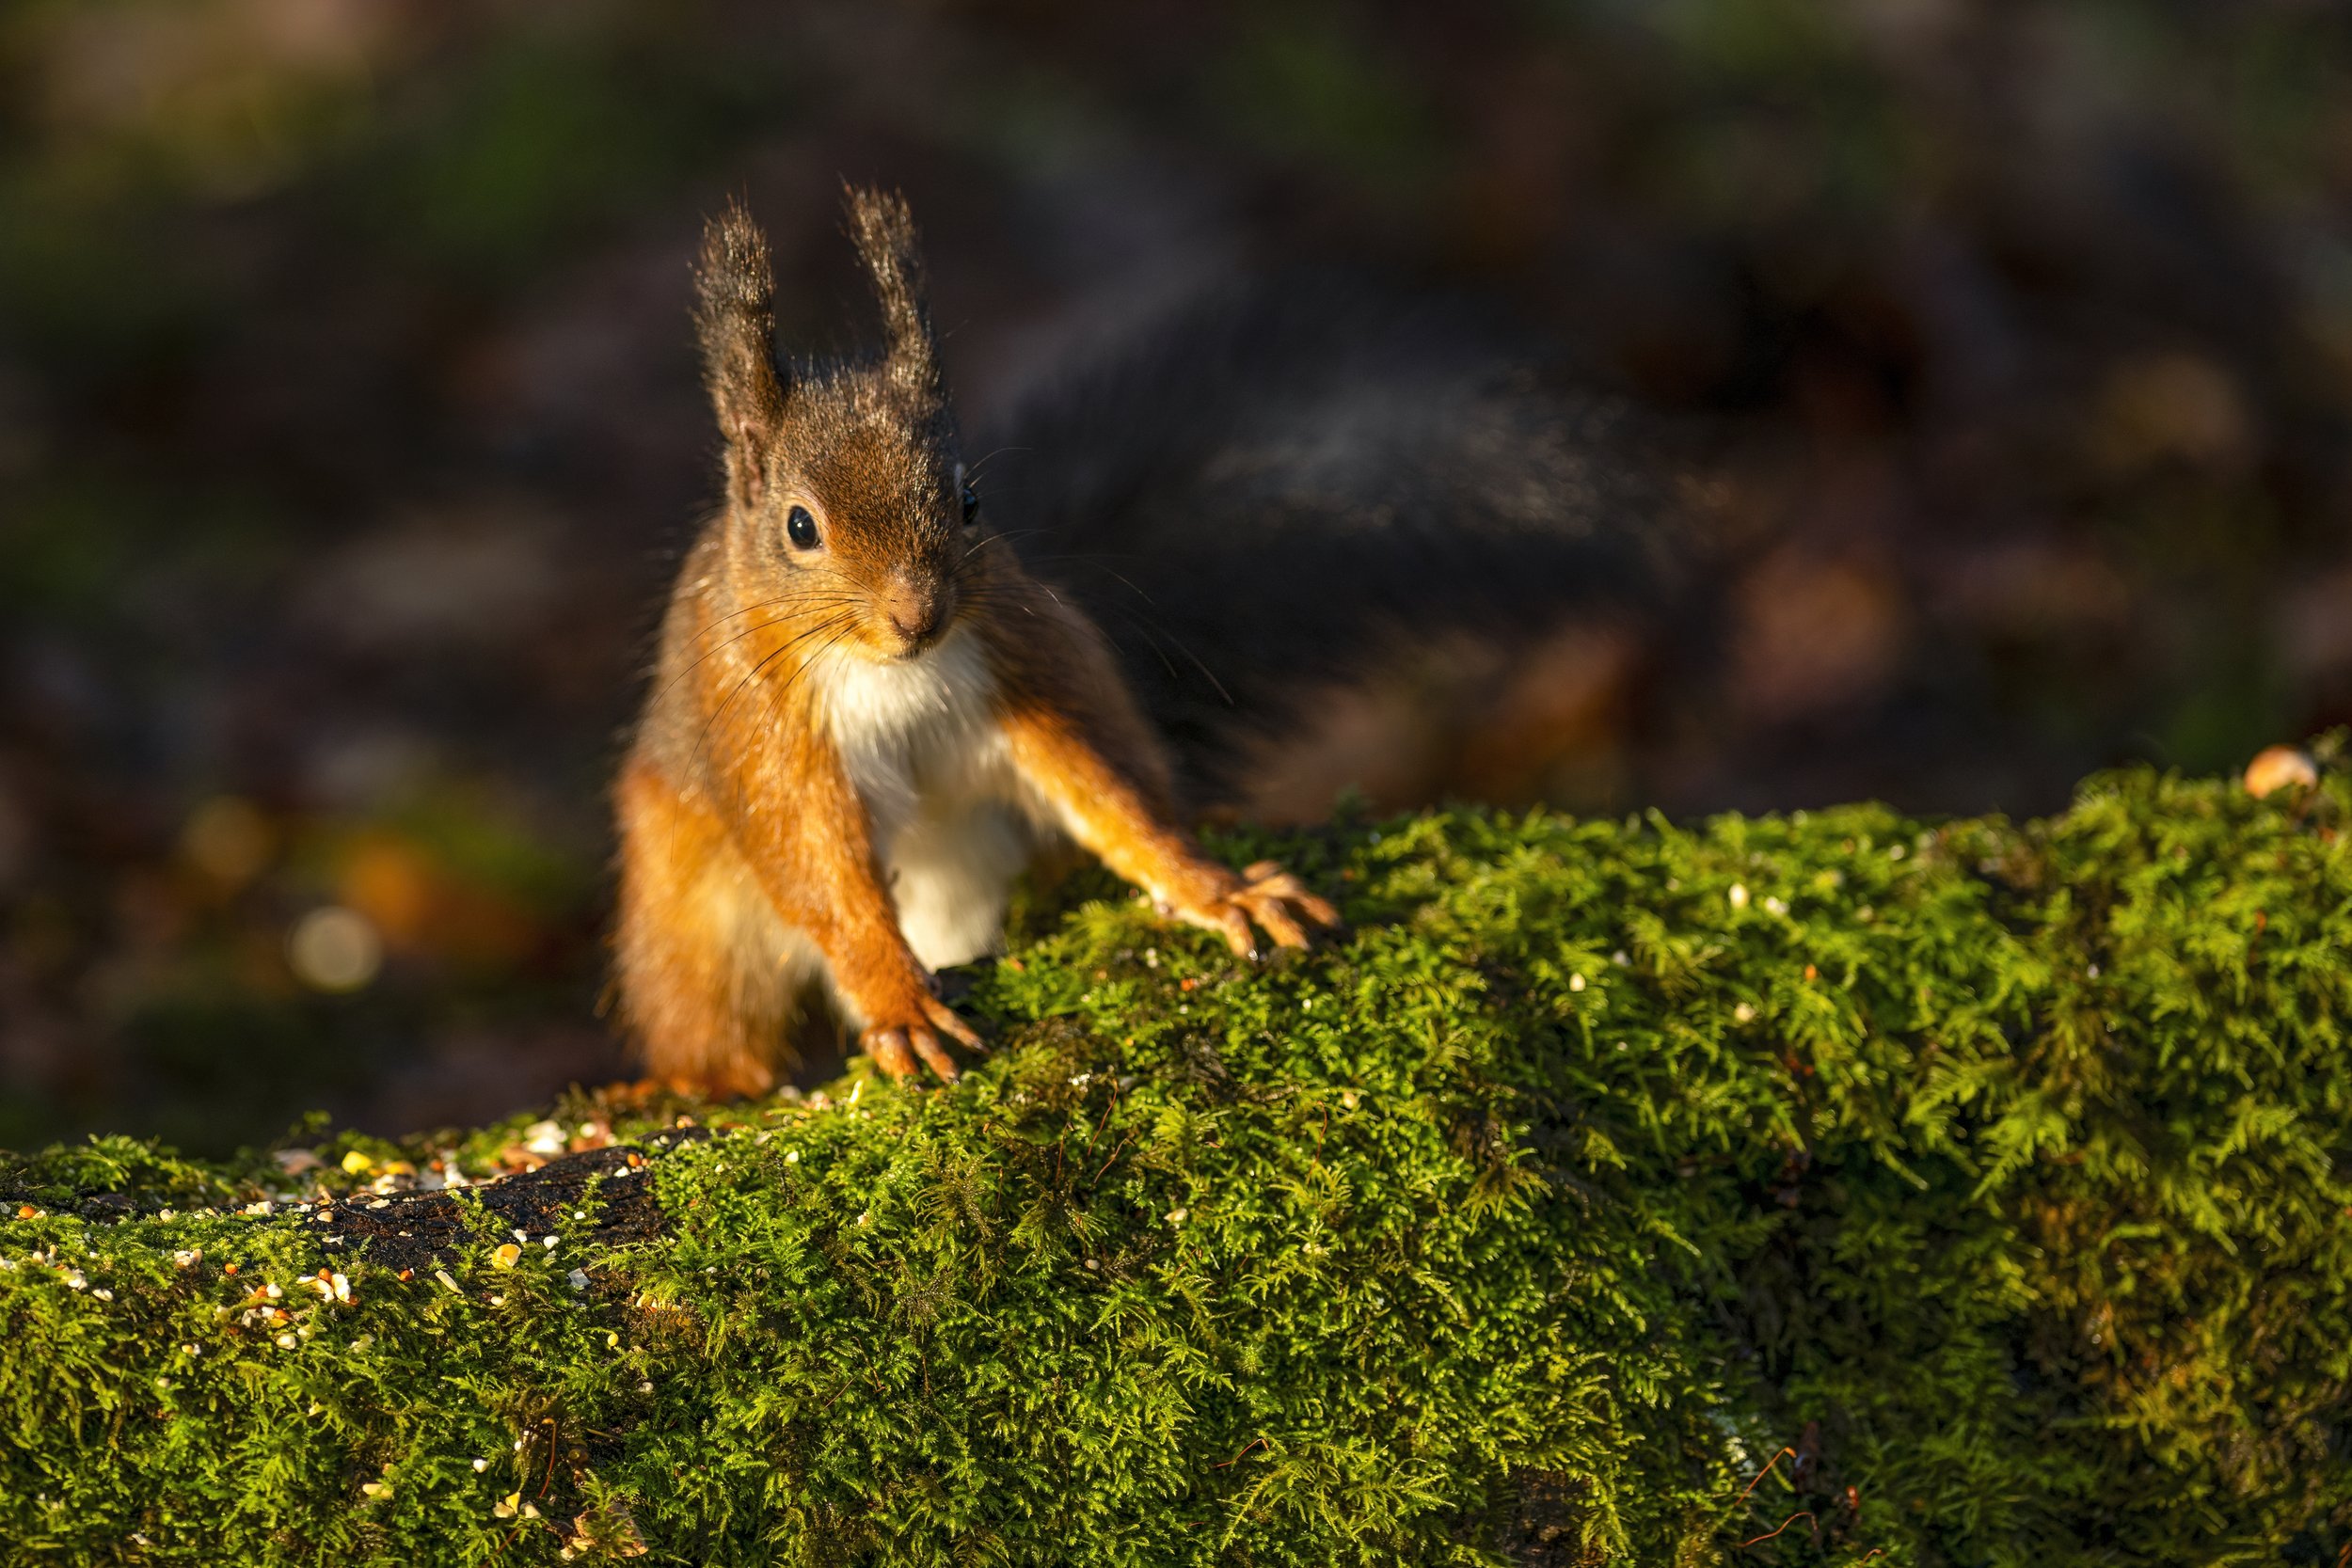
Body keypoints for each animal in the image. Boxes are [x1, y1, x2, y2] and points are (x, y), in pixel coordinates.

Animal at [614, 190, 1341, 1093]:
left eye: (970, 502)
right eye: (799, 526)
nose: (918, 614)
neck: (889, 669)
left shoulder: (1021, 667)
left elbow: (1114, 795)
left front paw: (1216, 887)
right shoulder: (763, 727)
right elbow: (822, 870)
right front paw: (901, 1006)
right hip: (689, 915)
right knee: (709, 1016)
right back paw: (691, 1085)